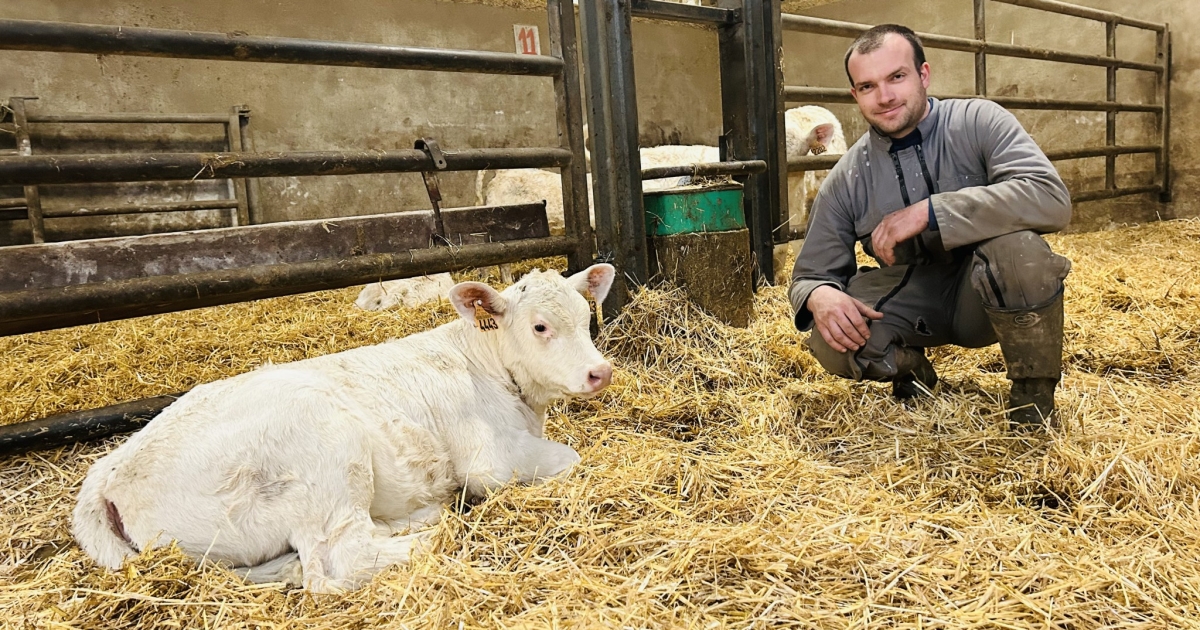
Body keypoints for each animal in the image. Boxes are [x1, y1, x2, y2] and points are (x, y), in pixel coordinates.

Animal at [72, 262, 619, 592]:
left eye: (586, 317)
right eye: (540, 326)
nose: (601, 372)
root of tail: (110, 472)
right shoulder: (492, 461)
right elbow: (569, 457)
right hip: (327, 455)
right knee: (344, 557)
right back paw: (429, 530)